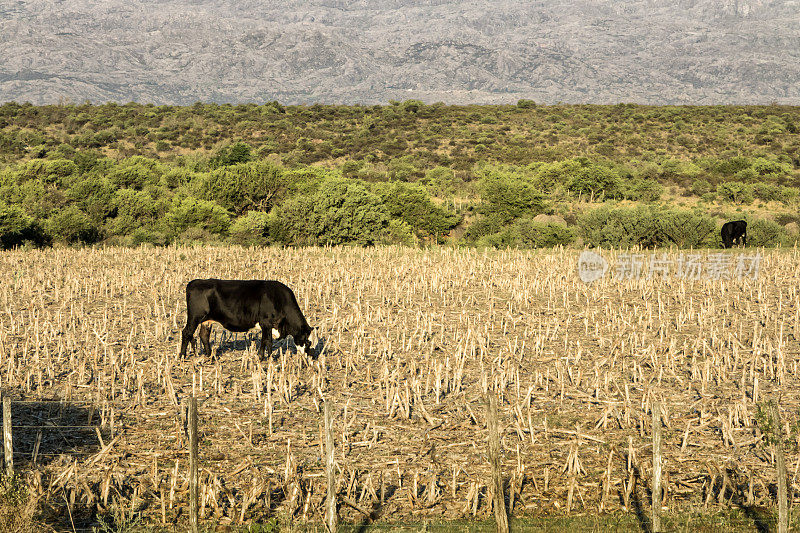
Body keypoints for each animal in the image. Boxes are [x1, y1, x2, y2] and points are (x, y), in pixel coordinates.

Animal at [180, 276, 314, 360]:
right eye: (308, 342)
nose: (312, 357)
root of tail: (195, 282)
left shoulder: (267, 325)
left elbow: (265, 341)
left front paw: (264, 357)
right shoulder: (266, 322)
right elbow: (268, 341)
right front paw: (266, 358)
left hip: (206, 320)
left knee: (204, 335)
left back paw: (209, 355)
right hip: (195, 317)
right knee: (187, 332)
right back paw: (182, 356)